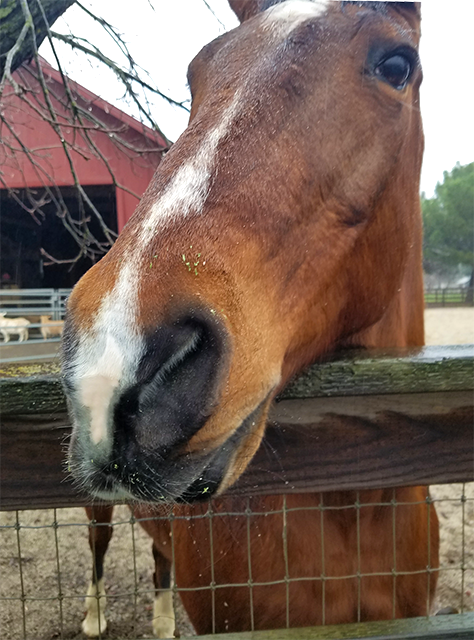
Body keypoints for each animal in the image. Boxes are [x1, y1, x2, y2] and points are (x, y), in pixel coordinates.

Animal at [62, 0, 439, 637]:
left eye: (397, 65)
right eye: (196, 73)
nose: (113, 362)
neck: (354, 504)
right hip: (95, 508)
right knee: (96, 544)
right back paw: (91, 618)